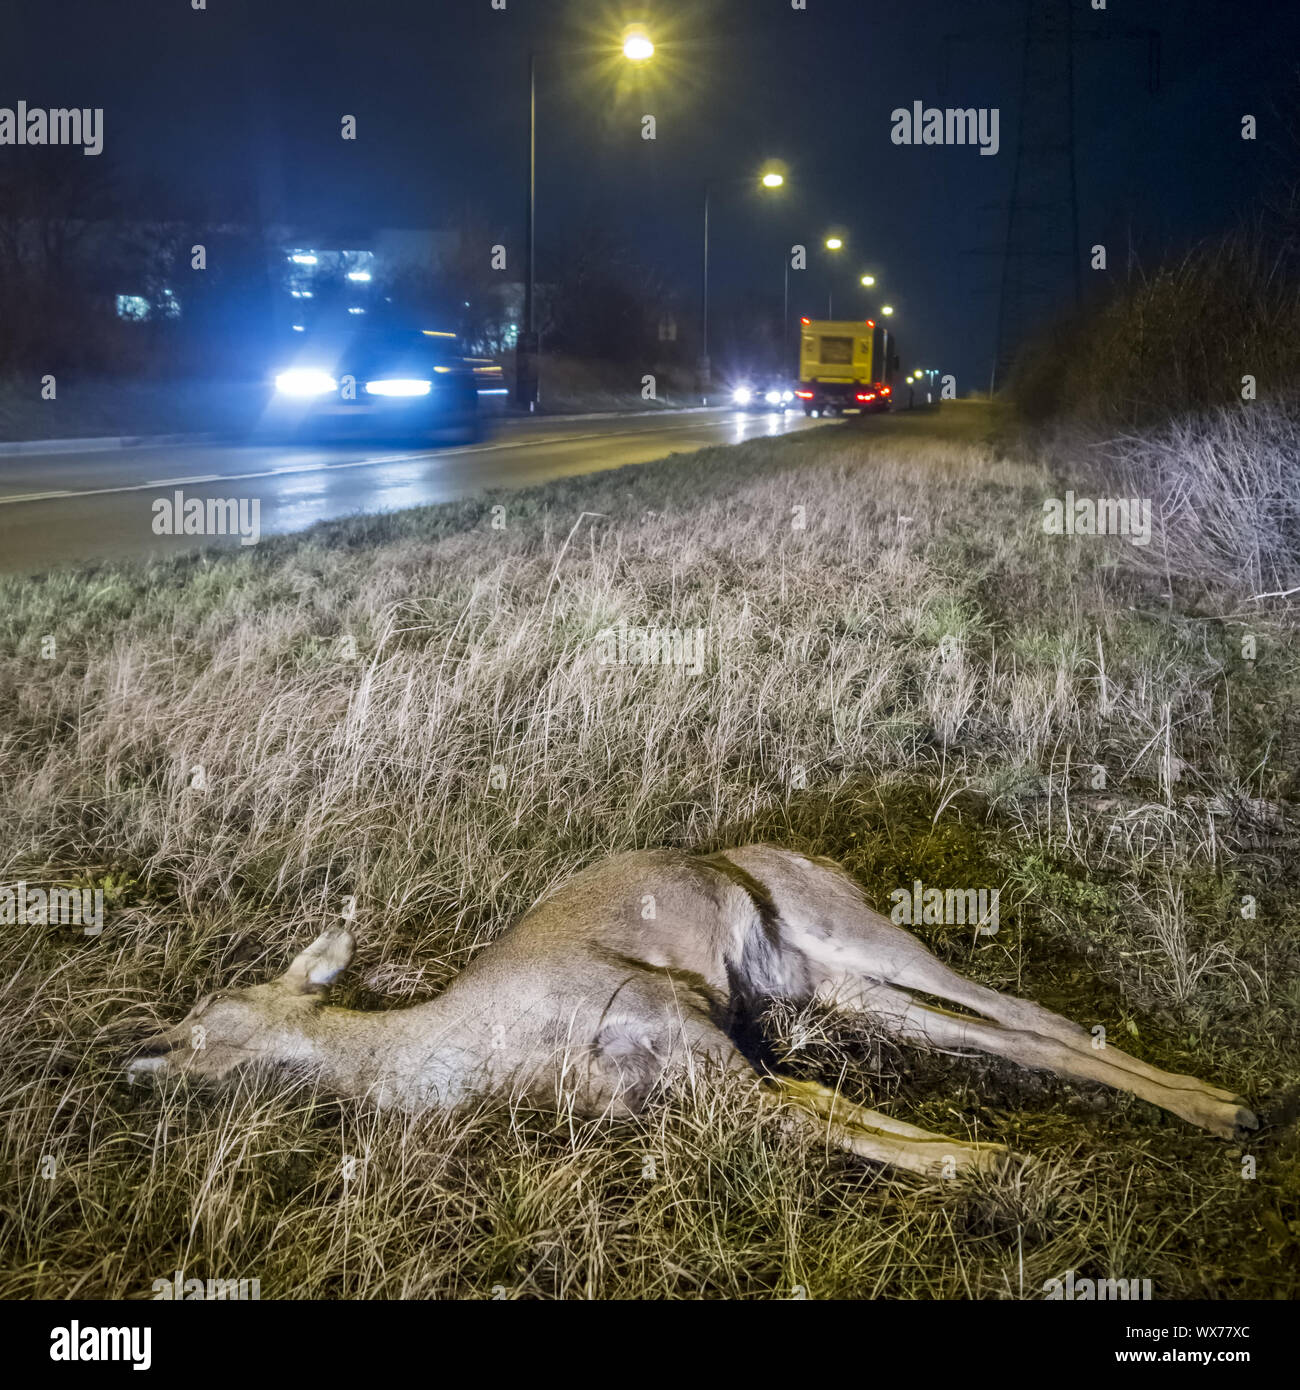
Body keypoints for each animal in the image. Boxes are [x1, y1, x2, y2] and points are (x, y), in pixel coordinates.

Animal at [124, 839, 1262, 1178]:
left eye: (213, 1014)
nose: (138, 1054)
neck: (483, 1049)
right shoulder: (697, 1073)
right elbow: (824, 1113)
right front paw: (982, 1160)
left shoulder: (677, 1023)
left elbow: (827, 1119)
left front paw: (985, 1165)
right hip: (825, 986)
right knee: (1003, 1031)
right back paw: (1226, 1111)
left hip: (853, 930)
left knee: (1032, 1011)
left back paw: (1228, 1106)